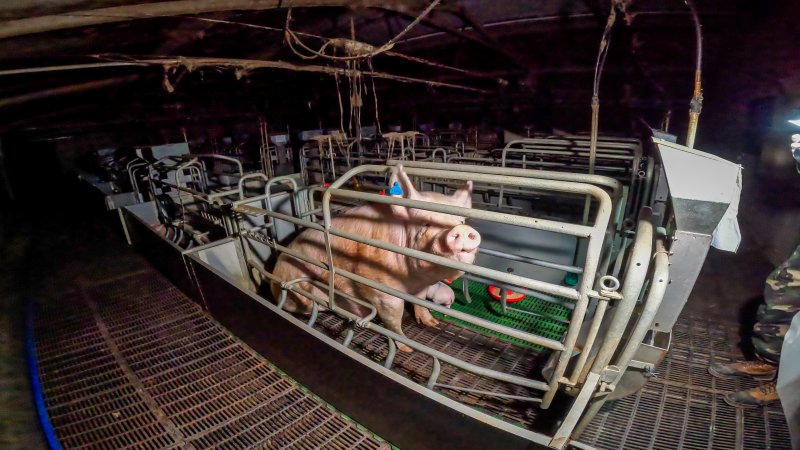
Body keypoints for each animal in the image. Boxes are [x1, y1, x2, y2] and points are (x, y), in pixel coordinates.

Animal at [272, 164, 478, 352]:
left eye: (461, 221)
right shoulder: (380, 289)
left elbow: (419, 302)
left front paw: (432, 322)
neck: (412, 280)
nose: (462, 229)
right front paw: (407, 348)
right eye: (425, 223)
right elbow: (394, 318)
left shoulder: (421, 286)